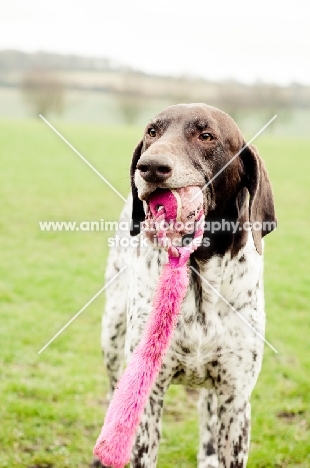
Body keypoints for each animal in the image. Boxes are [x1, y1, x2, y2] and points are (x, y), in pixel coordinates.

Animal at [98, 104, 276, 466]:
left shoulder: (235, 400)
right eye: (152, 131)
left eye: (206, 136)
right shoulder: (148, 395)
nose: (150, 167)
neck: (198, 272)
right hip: (111, 332)